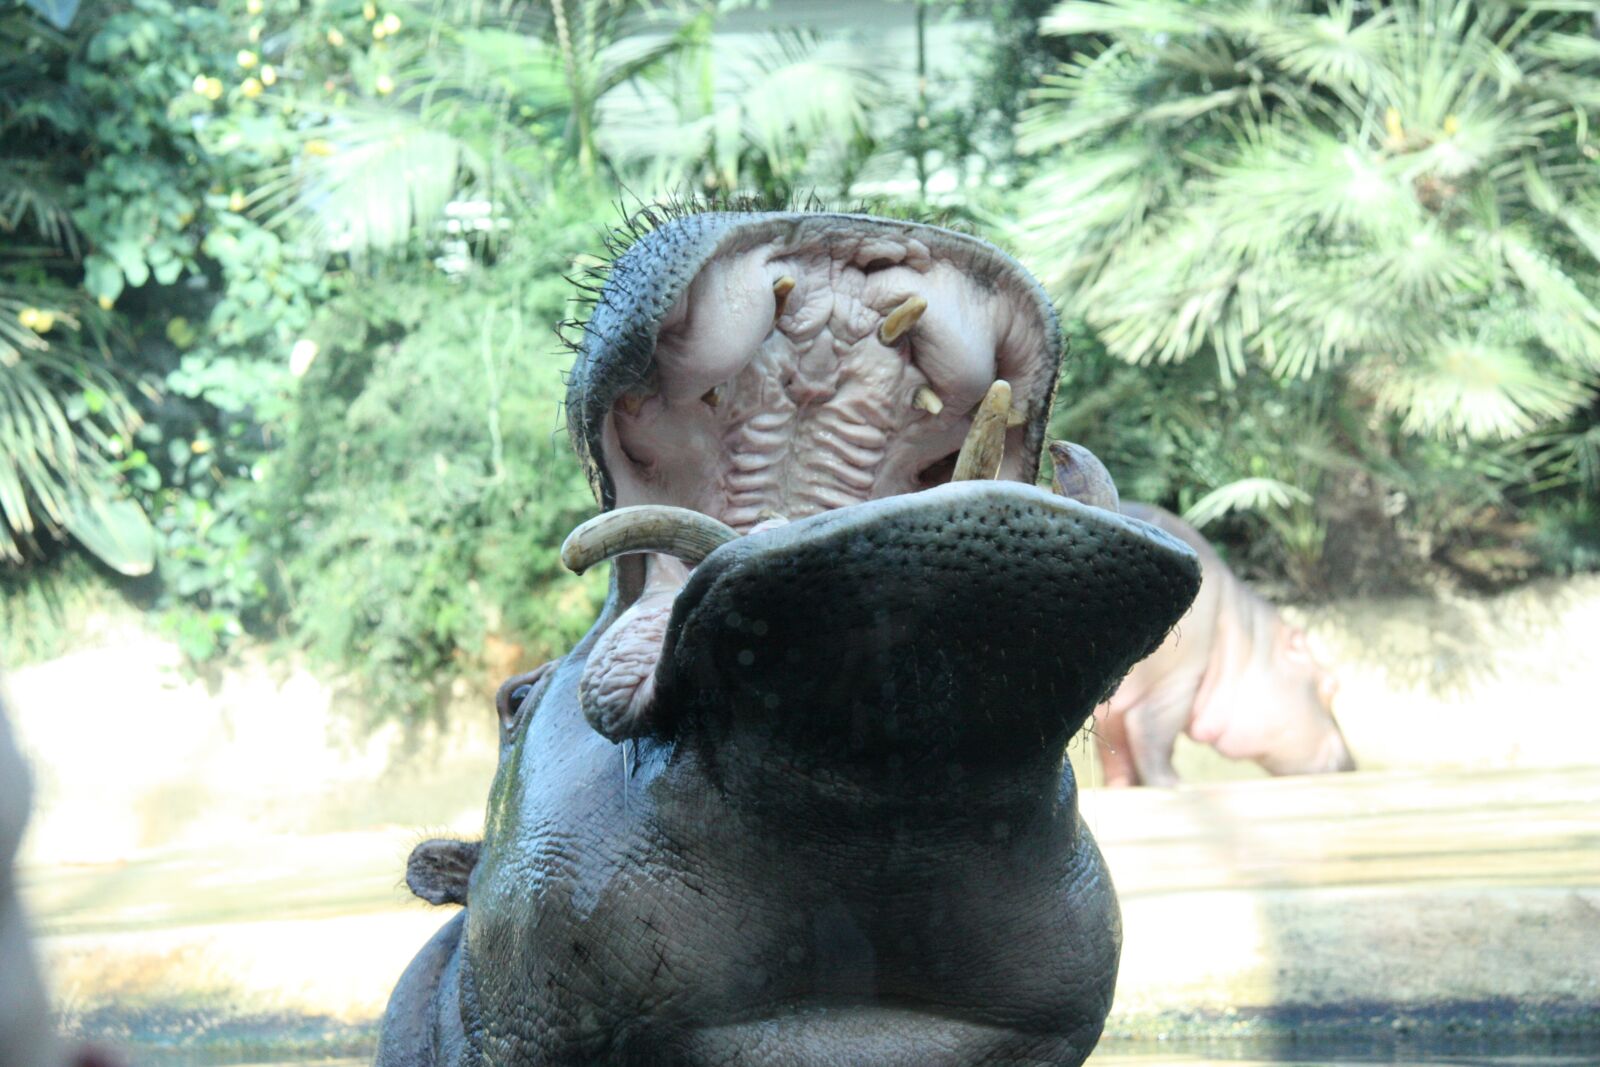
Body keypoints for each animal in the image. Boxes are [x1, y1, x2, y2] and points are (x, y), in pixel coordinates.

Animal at [1038, 469, 1353, 788]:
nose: (1351, 763)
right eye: (1331, 687)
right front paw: (1177, 785)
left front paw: (1121, 787)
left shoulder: (1116, 709)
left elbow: (1116, 756)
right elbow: (1152, 740)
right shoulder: (1177, 683)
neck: (1244, 636)